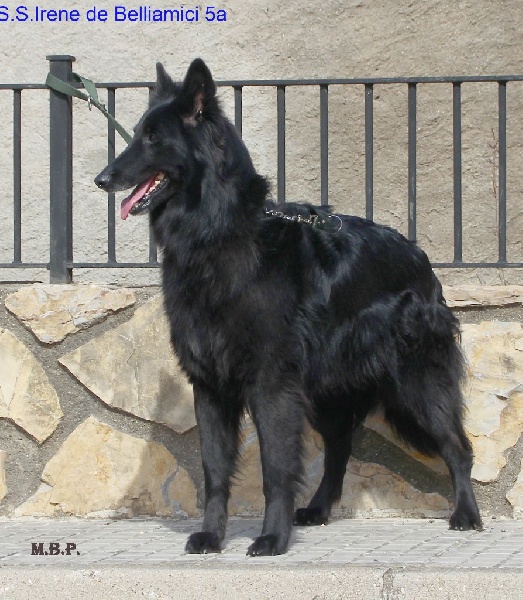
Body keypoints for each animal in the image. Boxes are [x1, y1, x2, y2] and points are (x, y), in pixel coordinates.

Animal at [95, 58, 482, 556]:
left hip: (417, 385)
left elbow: (276, 468)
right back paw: (317, 510)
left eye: (152, 138)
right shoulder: (211, 386)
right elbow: (215, 471)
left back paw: (466, 514)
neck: (217, 233)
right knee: (339, 452)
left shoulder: (272, 385)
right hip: (329, 395)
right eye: (137, 134)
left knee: (457, 447)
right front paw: (212, 536)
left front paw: (272, 538)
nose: (102, 179)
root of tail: (421, 260)